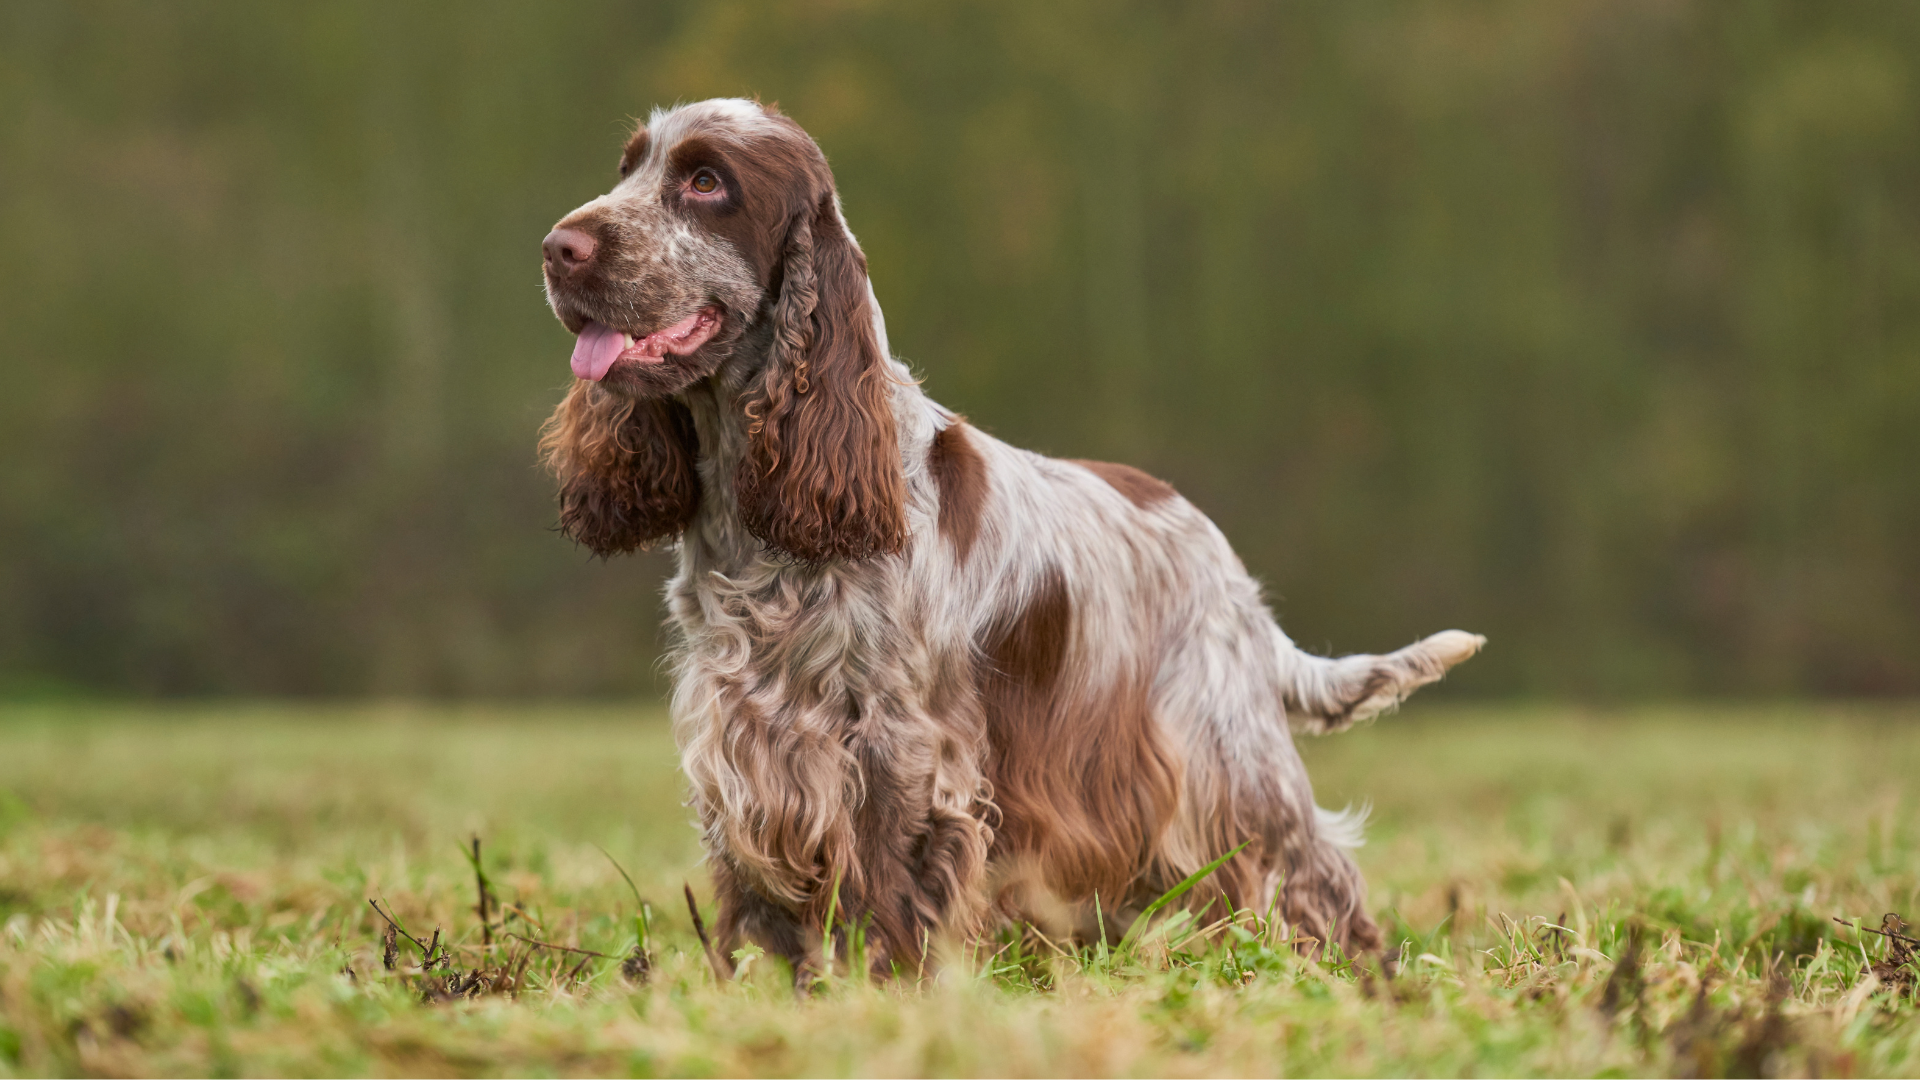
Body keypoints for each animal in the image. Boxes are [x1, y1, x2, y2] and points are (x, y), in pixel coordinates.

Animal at [541, 98, 1482, 976]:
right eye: (629, 170)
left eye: (706, 183)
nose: (557, 248)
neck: (757, 510)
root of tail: (1226, 562)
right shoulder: (744, 742)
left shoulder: (899, 748)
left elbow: (891, 885)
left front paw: (884, 985)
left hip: (1229, 759)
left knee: (1312, 872)